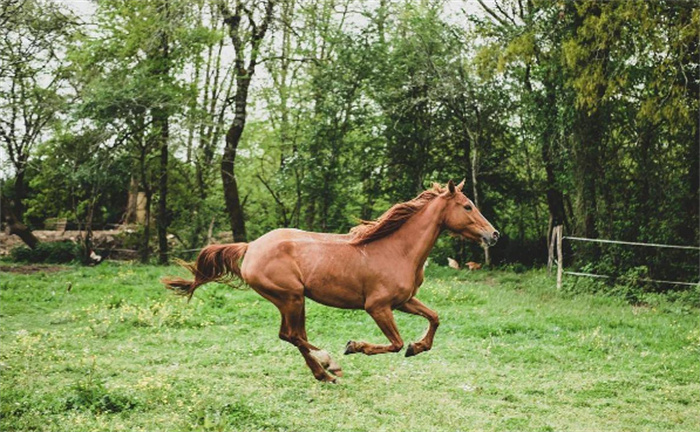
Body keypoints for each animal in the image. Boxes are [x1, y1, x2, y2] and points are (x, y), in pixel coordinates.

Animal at [163, 179, 498, 382]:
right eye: (467, 206)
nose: (493, 234)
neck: (397, 250)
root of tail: (251, 246)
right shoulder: (377, 307)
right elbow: (395, 343)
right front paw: (355, 346)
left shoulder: (403, 301)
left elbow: (435, 317)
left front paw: (418, 347)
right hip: (291, 297)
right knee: (292, 336)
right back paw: (329, 364)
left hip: (294, 301)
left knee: (293, 335)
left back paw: (323, 372)